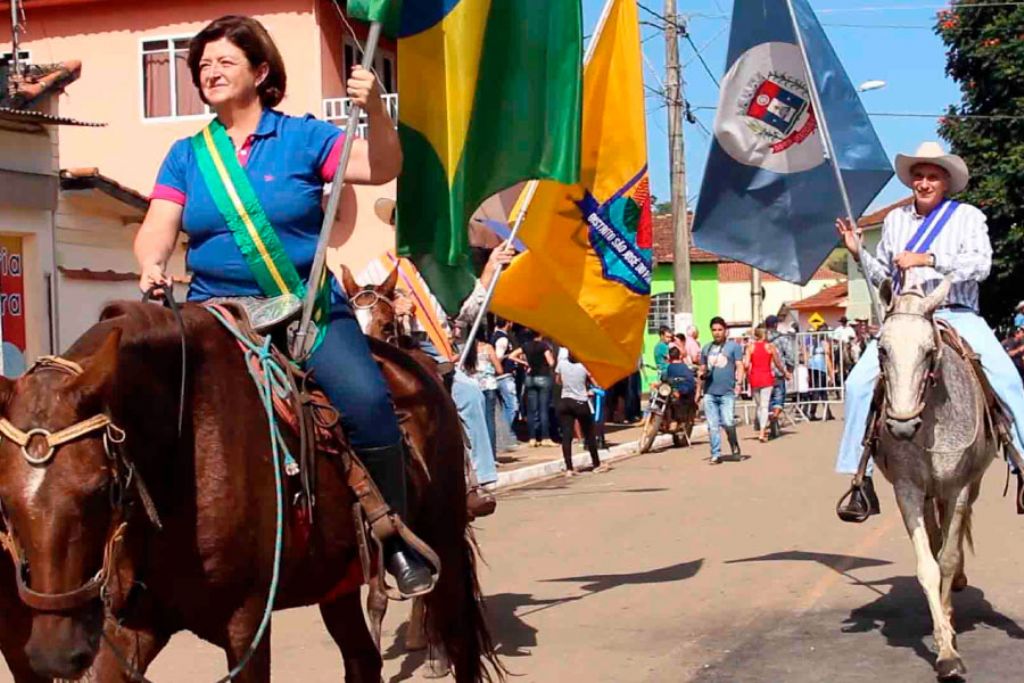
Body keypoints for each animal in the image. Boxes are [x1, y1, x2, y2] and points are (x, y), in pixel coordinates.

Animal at [0, 305, 499, 683]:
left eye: (102, 489)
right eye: (5, 502)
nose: (53, 655)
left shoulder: (246, 627)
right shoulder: (132, 630)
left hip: (444, 545)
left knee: (459, 643)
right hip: (335, 580)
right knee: (363, 659)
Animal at [868, 276, 995, 679]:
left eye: (928, 352)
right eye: (882, 350)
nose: (901, 426)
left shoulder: (959, 488)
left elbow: (949, 557)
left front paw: (949, 640)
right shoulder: (908, 491)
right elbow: (928, 565)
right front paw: (945, 648)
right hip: (927, 494)